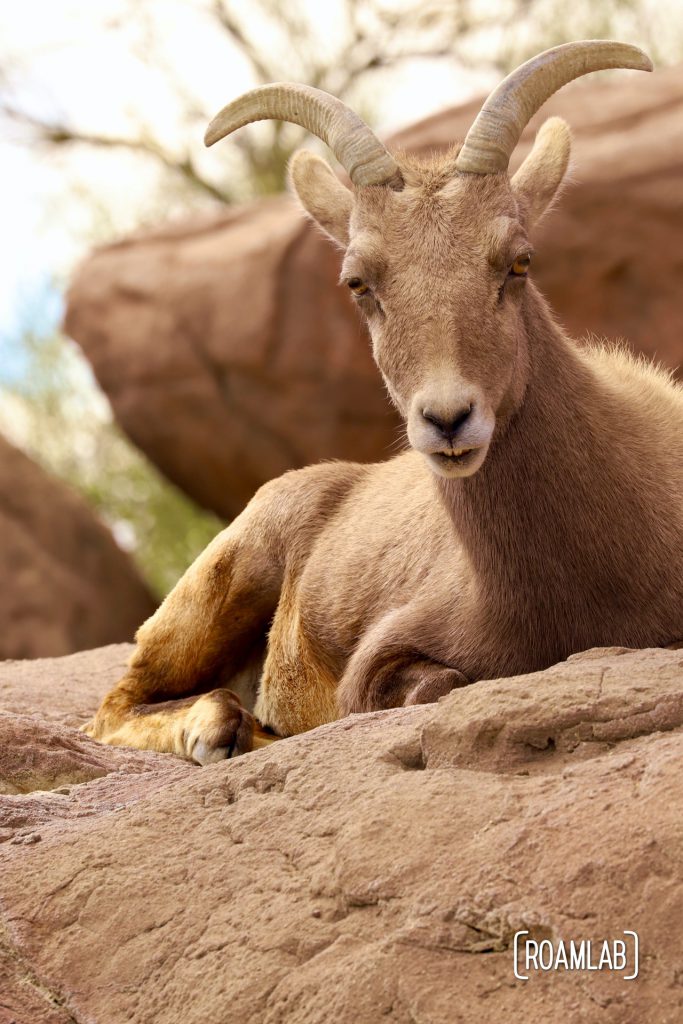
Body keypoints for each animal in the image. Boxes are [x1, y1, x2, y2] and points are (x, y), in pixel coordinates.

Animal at [85, 39, 683, 765]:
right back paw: (214, 730)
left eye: (519, 260)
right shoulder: (378, 662)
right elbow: (430, 687)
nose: (448, 420)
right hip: (223, 583)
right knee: (118, 703)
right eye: (358, 282)